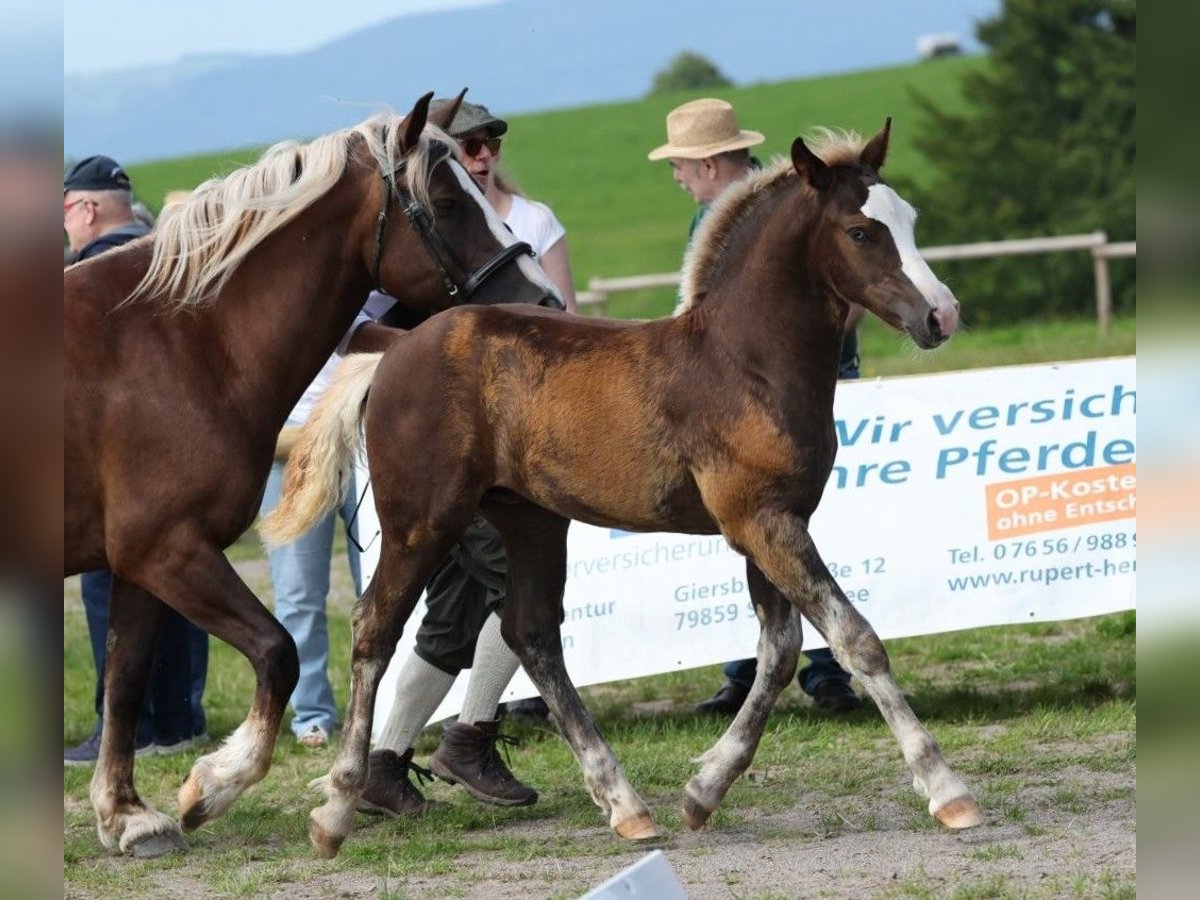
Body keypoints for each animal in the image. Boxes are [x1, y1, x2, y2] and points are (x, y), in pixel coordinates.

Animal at [64, 91, 563, 858]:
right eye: (448, 201)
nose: (540, 304)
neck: (180, 341)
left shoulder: (141, 563)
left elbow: (124, 682)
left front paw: (127, 815)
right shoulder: (168, 551)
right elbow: (278, 653)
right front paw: (214, 785)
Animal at [264, 119, 983, 858]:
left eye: (910, 219)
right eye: (861, 231)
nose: (942, 315)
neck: (743, 362)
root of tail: (392, 348)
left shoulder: (772, 522)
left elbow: (777, 655)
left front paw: (704, 791)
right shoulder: (762, 522)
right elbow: (854, 638)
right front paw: (947, 790)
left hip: (530, 520)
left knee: (530, 632)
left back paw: (625, 803)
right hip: (421, 522)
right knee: (376, 628)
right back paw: (336, 810)